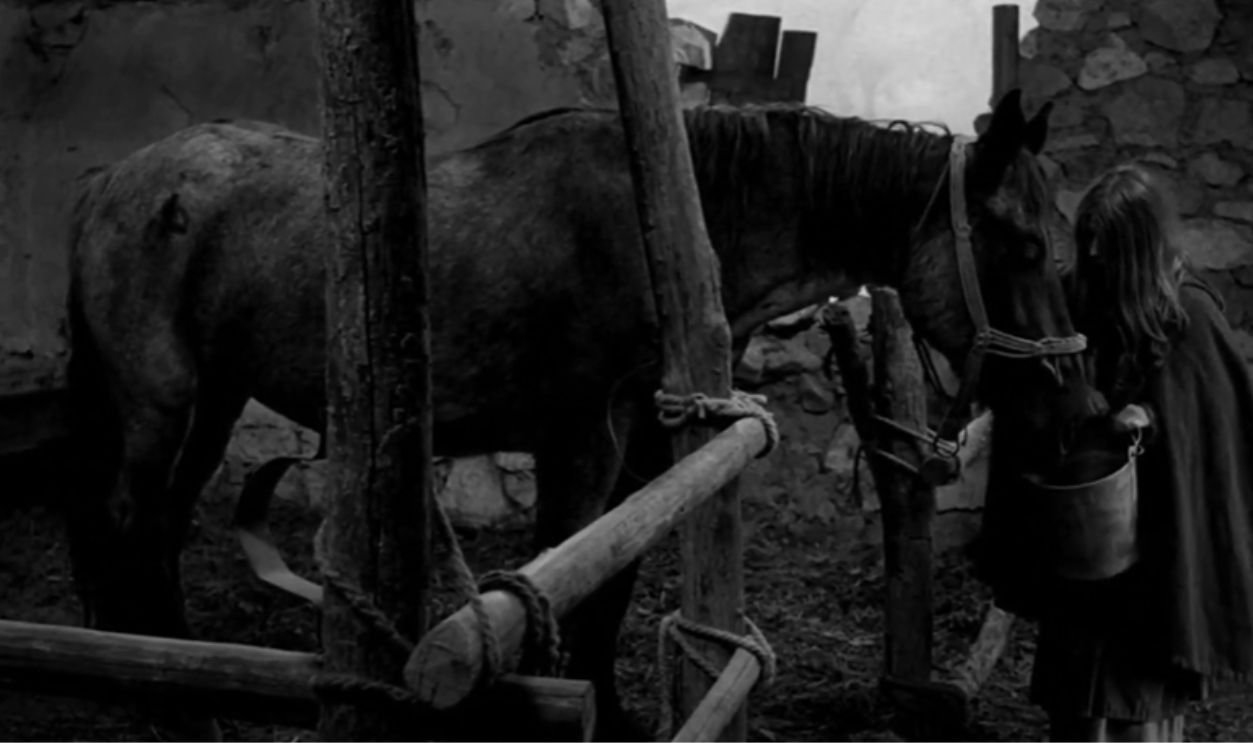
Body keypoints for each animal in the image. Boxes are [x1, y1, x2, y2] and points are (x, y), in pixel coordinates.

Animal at [63, 89, 1097, 739]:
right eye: (1021, 243)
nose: (1079, 412)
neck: (651, 235)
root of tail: (112, 181)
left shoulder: (646, 449)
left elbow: (610, 585)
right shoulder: (580, 444)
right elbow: (562, 577)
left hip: (214, 400)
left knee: (158, 524)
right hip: (163, 400)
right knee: (130, 517)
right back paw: (175, 700)